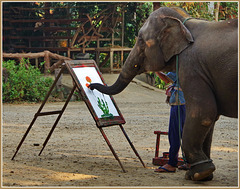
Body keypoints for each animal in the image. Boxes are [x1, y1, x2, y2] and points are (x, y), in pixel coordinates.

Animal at [89, 6, 238, 181]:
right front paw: (201, 175)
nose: (90, 85)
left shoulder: (192, 68)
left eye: (141, 40)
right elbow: (212, 118)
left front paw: (200, 173)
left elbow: (204, 113)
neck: (186, 23)